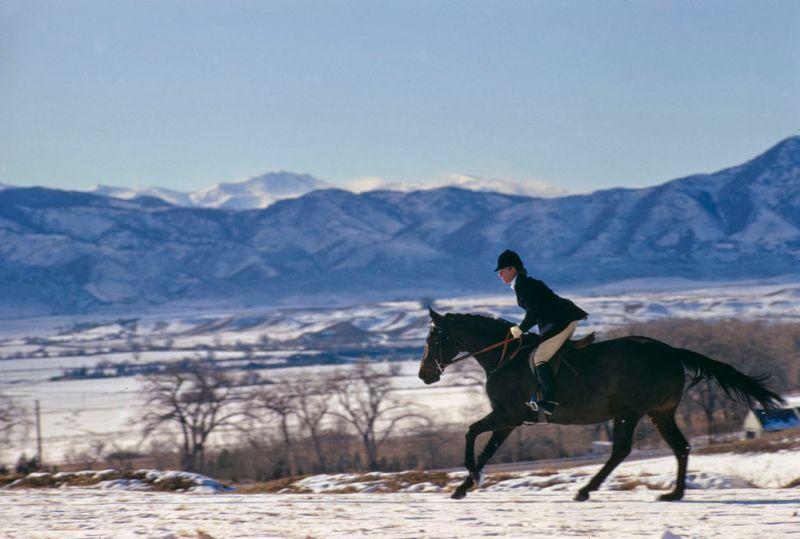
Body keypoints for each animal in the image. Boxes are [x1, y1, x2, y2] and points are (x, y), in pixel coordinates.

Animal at [418, 308, 783, 501]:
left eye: (433, 338)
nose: (424, 375)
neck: (504, 357)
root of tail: (671, 352)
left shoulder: (508, 414)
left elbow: (471, 434)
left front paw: (468, 479)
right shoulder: (509, 420)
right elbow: (487, 449)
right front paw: (465, 485)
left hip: (630, 412)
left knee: (621, 450)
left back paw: (585, 489)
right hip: (660, 413)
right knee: (680, 447)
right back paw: (673, 494)